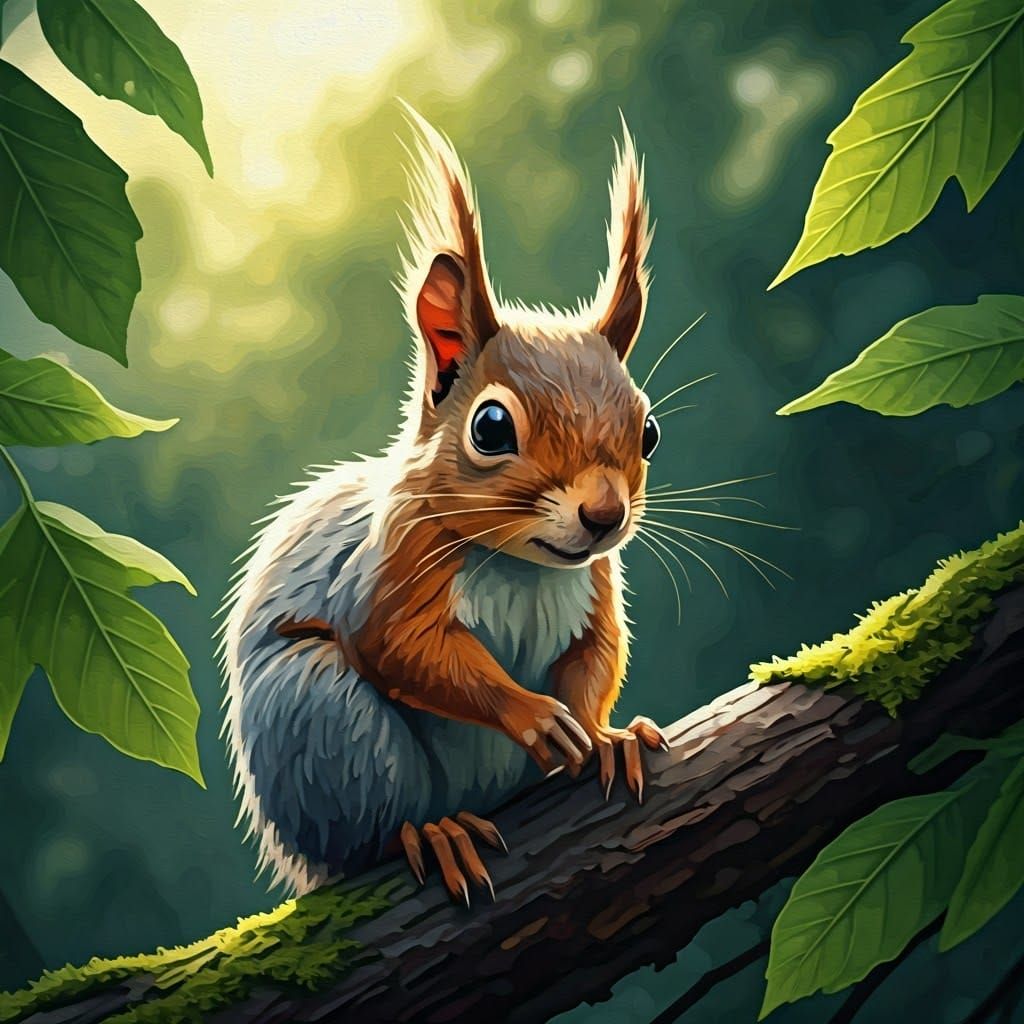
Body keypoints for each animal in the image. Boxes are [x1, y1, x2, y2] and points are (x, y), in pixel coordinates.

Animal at [221, 110, 668, 902]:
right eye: (490, 428)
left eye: (647, 432)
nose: (603, 517)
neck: (522, 565)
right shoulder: (389, 568)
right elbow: (404, 648)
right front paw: (534, 717)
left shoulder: (596, 586)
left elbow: (596, 656)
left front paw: (605, 735)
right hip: (325, 724)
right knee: (371, 822)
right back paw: (432, 832)